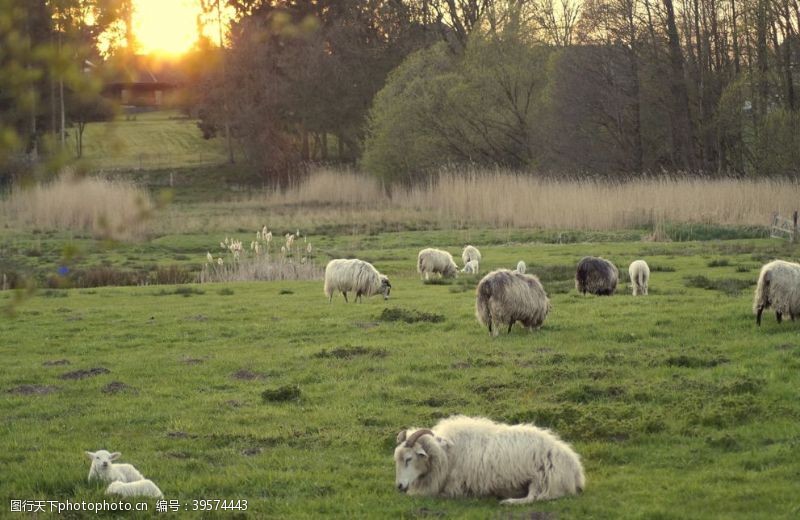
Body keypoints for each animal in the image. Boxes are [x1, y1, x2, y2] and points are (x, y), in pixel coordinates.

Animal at [396, 416, 584, 506]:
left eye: (409, 458)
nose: (398, 486)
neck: (446, 454)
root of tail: (576, 469)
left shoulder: (455, 487)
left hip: (541, 478)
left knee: (535, 498)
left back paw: (508, 501)